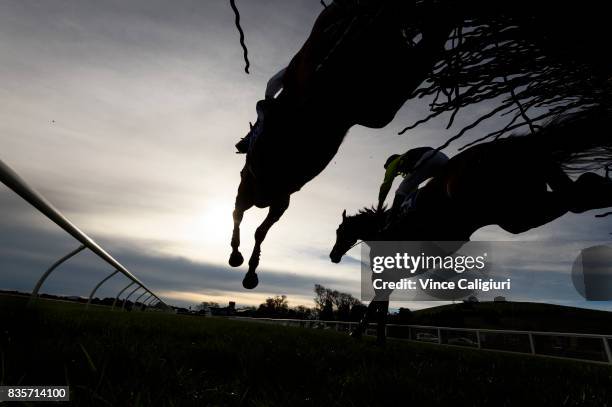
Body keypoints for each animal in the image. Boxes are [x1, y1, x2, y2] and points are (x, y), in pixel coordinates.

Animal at [330, 113, 612, 346]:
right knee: (583, 191)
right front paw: (376, 336)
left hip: (514, 211)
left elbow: (375, 305)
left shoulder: (385, 274)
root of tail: (509, 145)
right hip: (523, 210)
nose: (333, 256)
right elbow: (380, 305)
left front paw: (360, 333)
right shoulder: (392, 276)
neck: (381, 231)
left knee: (580, 193)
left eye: (339, 231)